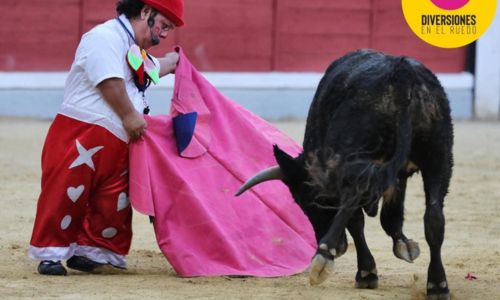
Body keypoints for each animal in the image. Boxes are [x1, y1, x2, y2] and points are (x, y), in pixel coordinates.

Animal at [236, 49, 452, 300]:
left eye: (305, 201)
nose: (340, 248)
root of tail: (401, 73)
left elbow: (357, 219)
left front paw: (366, 272)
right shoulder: (397, 174)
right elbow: (390, 217)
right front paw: (404, 245)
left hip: (353, 159)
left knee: (354, 204)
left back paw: (325, 257)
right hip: (439, 156)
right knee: (434, 216)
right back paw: (437, 284)